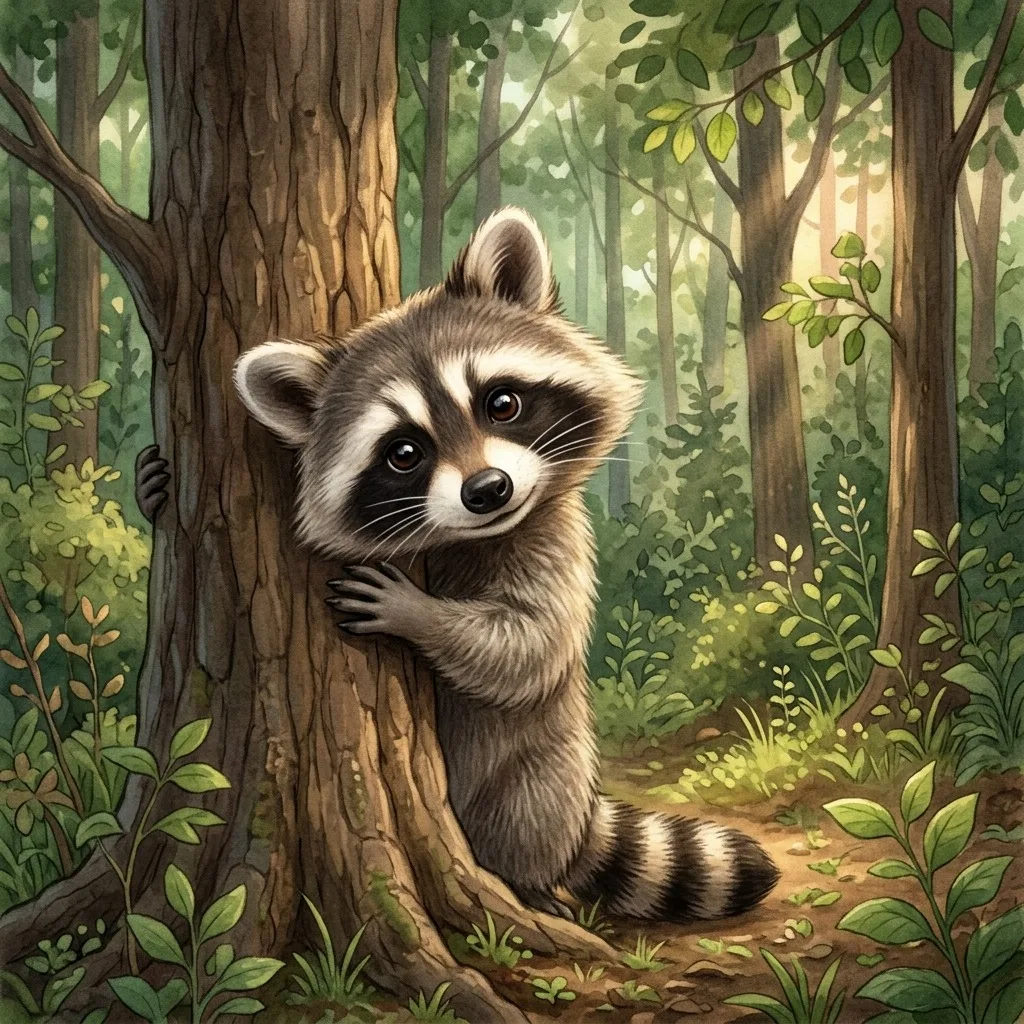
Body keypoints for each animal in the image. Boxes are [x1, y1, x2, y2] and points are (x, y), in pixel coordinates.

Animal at [227, 207, 779, 921]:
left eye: (502, 404)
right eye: (404, 452)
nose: (487, 490)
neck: (467, 538)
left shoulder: (555, 538)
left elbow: (526, 646)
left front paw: (418, 613)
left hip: (544, 766)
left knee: (530, 807)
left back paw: (530, 880)